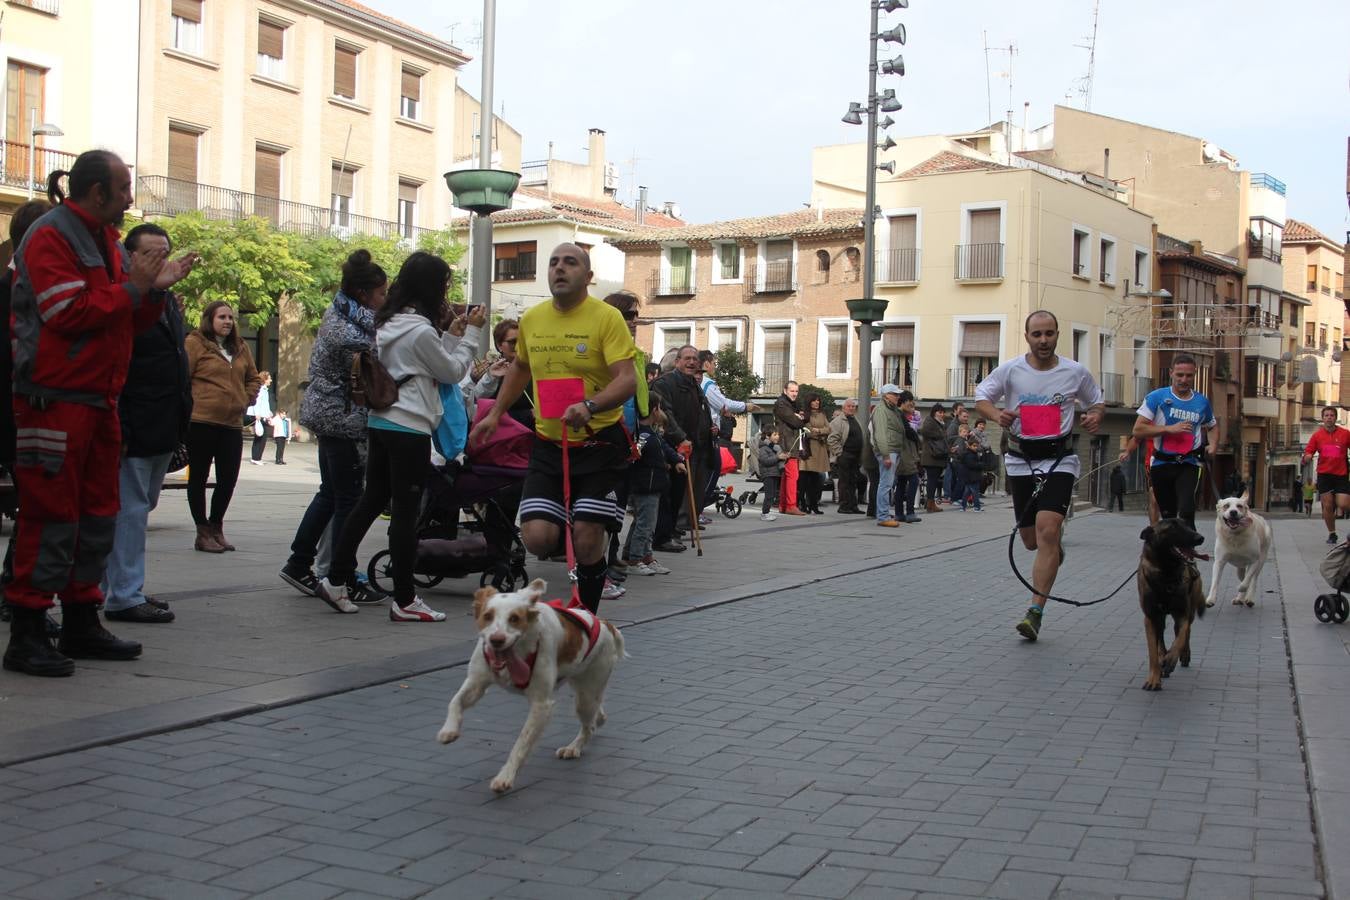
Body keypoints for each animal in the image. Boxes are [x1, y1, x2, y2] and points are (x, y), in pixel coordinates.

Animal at [437, 577, 626, 793]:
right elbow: (455, 701)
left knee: (589, 726)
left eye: (514, 618)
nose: (496, 640)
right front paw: (449, 730)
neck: (519, 653)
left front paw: (505, 777)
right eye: (488, 616)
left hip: (586, 696)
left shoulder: (541, 704)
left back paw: (573, 747)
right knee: (597, 714)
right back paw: (599, 720)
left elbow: (521, 743)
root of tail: (605, 623)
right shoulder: (476, 683)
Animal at [1134, 518, 1209, 696]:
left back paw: (1182, 655)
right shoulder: (1151, 618)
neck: (1166, 574)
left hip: (1189, 612)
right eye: (1172, 528)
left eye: (1187, 525)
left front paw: (1171, 659)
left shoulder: (1182, 614)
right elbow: (1153, 652)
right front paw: (1154, 679)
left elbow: (1180, 638)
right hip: (1160, 619)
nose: (1200, 538)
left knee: (1185, 632)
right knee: (1161, 639)